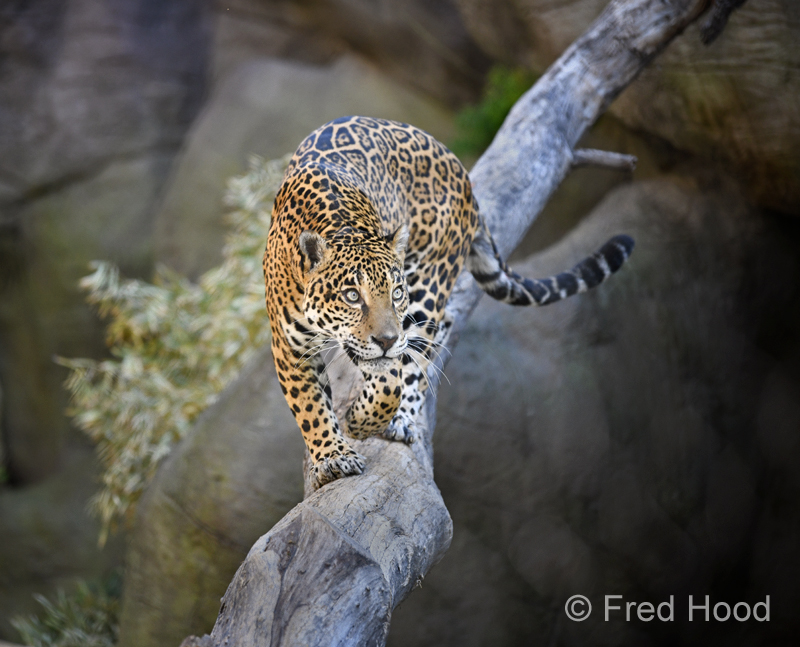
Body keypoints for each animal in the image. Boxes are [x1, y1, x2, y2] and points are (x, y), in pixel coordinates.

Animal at [263, 116, 634, 489]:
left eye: (396, 293)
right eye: (352, 295)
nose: (386, 340)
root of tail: (459, 169)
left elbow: (388, 384)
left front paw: (360, 421)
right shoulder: (288, 345)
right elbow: (310, 407)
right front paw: (333, 456)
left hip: (430, 282)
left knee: (422, 349)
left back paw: (402, 417)